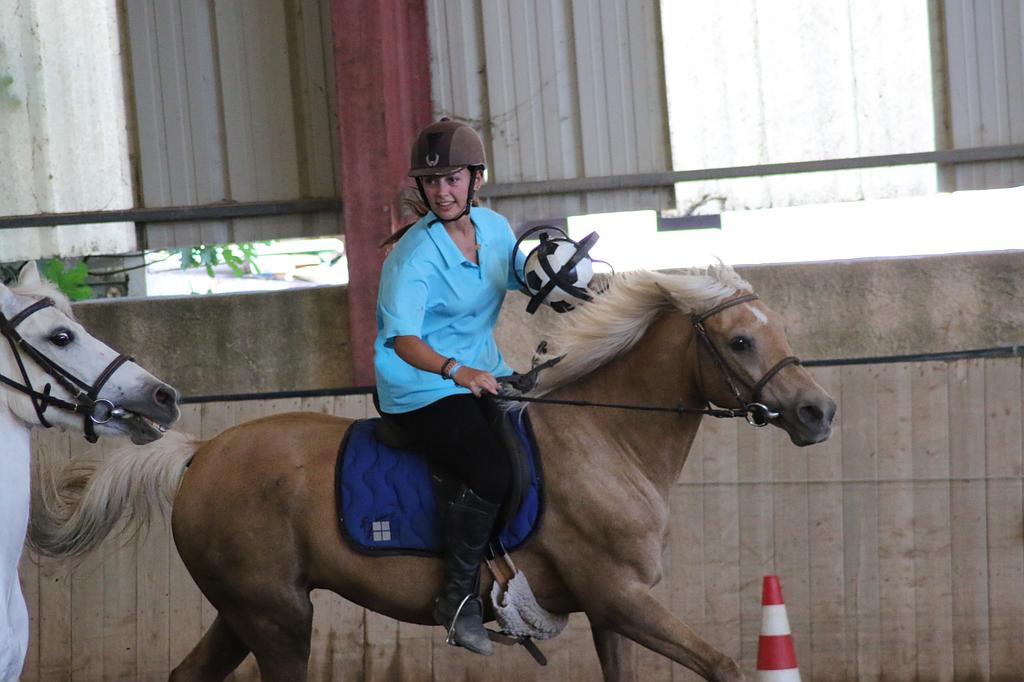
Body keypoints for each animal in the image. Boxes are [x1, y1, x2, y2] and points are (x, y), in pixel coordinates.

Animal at [30, 264, 835, 681]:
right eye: (740, 341)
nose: (818, 412)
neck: (606, 435)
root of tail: (201, 453)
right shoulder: (623, 597)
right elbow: (726, 667)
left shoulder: (611, 610)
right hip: (277, 618)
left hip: (245, 611)